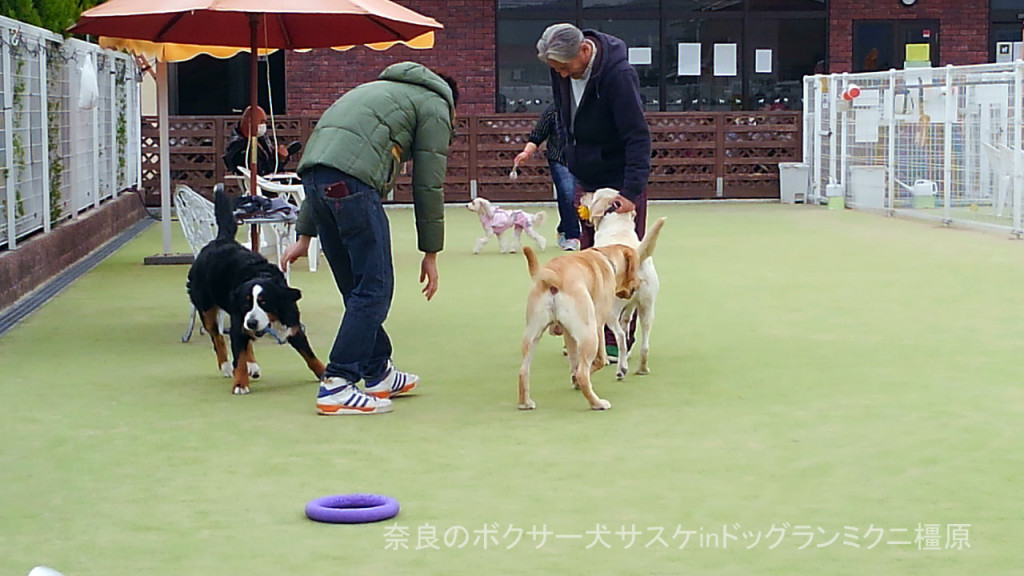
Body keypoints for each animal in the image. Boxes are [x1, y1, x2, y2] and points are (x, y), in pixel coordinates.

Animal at [187, 186, 323, 391]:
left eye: (264, 302)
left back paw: (252, 365)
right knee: (217, 337)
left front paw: (324, 373)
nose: (252, 322)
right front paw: (240, 383)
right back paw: (226, 366)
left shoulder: (292, 325)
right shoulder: (239, 320)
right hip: (207, 308)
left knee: (245, 341)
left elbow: (310, 356)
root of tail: (219, 241)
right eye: (246, 304)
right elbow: (239, 356)